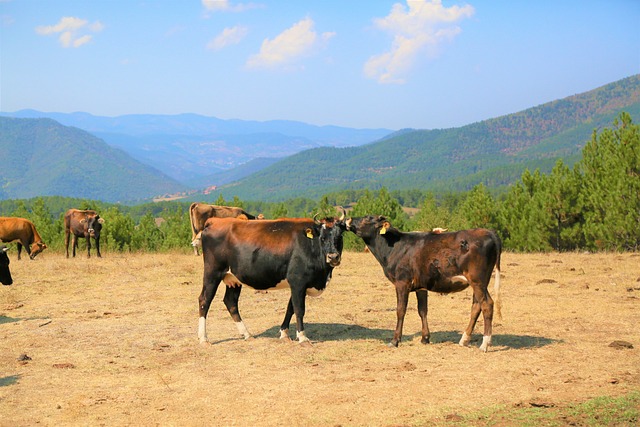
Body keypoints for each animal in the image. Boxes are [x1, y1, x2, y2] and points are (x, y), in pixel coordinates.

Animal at [199, 212, 344, 346]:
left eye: (340, 236)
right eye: (322, 238)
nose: (333, 257)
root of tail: (215, 221)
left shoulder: (297, 284)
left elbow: (290, 308)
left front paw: (284, 334)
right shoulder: (298, 281)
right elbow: (299, 309)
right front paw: (303, 337)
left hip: (234, 279)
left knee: (231, 301)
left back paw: (247, 334)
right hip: (212, 273)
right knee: (204, 300)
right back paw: (203, 339)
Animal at [344, 216, 500, 352]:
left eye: (367, 218)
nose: (348, 219)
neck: (394, 248)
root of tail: (489, 232)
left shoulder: (402, 282)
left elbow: (400, 310)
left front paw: (395, 340)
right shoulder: (421, 286)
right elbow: (422, 310)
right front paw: (425, 338)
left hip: (477, 280)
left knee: (487, 304)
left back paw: (485, 344)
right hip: (480, 282)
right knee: (476, 306)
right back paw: (464, 339)